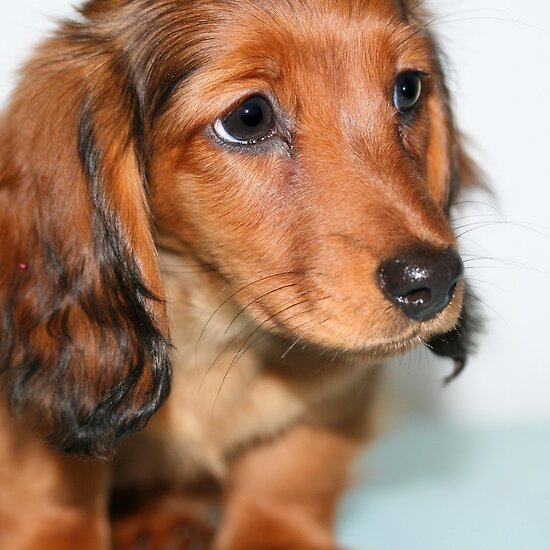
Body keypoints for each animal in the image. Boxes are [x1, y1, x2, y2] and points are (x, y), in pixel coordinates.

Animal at [0, 1, 480, 550]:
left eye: (408, 89)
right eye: (249, 118)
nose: (433, 281)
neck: (215, 328)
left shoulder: (327, 400)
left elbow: (288, 473)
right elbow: (55, 492)